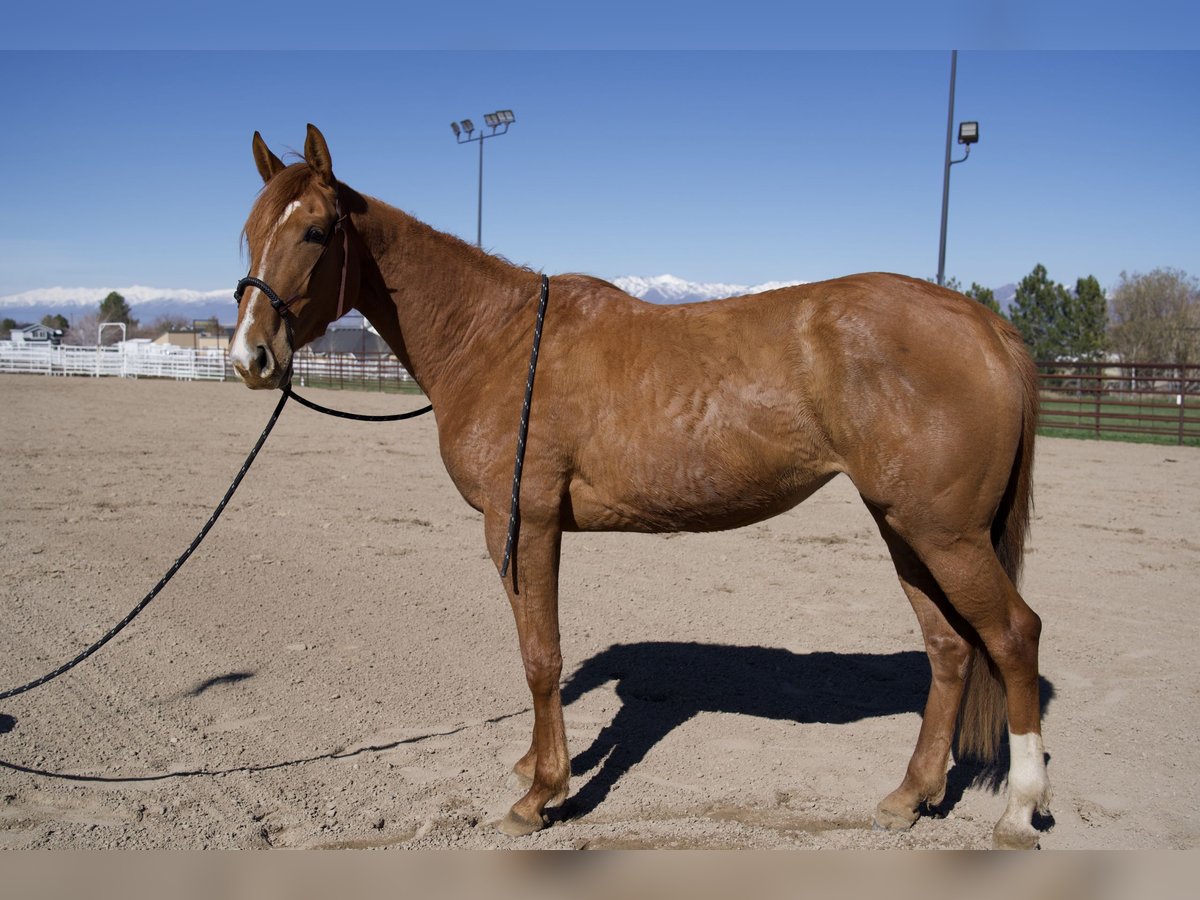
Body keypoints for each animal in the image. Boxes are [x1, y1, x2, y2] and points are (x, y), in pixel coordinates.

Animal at [226, 127, 1051, 854]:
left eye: (317, 231)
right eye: (250, 231)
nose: (249, 356)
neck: (494, 340)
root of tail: (985, 325)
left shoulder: (524, 525)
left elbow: (541, 657)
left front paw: (540, 796)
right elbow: (540, 655)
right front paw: (536, 768)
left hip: (945, 535)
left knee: (1013, 636)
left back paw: (1019, 811)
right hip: (905, 527)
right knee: (950, 648)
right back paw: (910, 796)